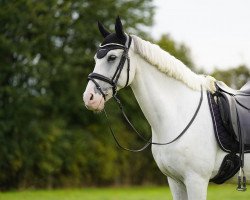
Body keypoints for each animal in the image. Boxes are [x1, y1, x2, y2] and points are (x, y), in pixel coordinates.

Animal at [83, 18, 249, 199]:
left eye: (112, 57)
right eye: (95, 58)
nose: (89, 98)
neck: (178, 115)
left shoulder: (196, 180)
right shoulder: (175, 181)